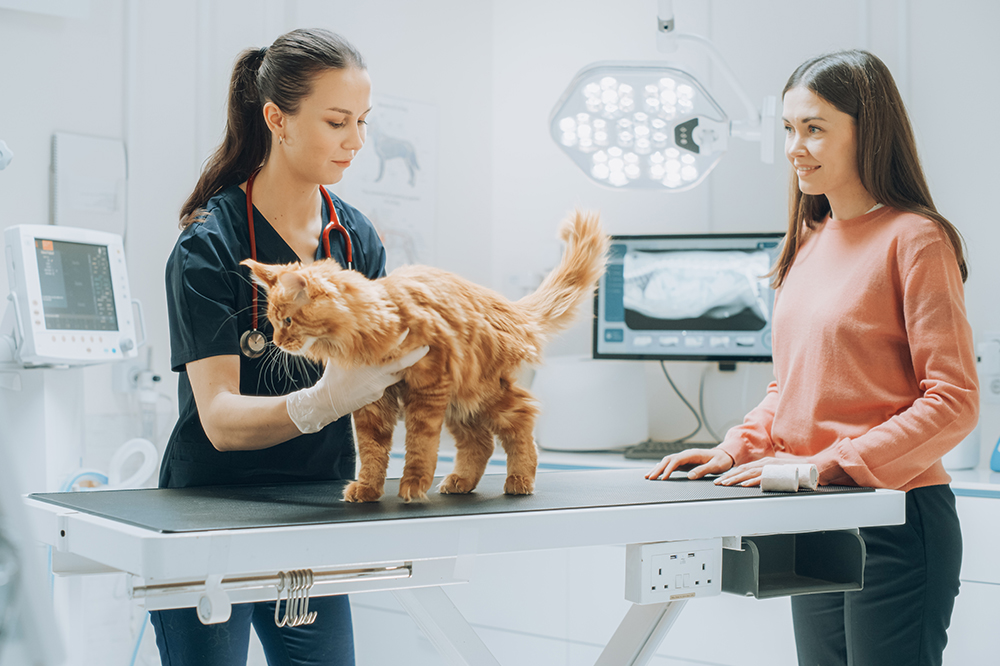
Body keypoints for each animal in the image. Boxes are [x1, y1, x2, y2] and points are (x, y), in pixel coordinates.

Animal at [244, 210, 608, 500]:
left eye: (287, 321)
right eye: (272, 321)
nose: (276, 341)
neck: (370, 330)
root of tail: (507, 307)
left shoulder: (429, 387)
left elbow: (420, 444)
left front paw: (414, 482)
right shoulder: (370, 399)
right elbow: (373, 450)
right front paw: (369, 488)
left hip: (481, 391)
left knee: (521, 418)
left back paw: (520, 479)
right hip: (460, 406)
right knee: (481, 442)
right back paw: (461, 481)